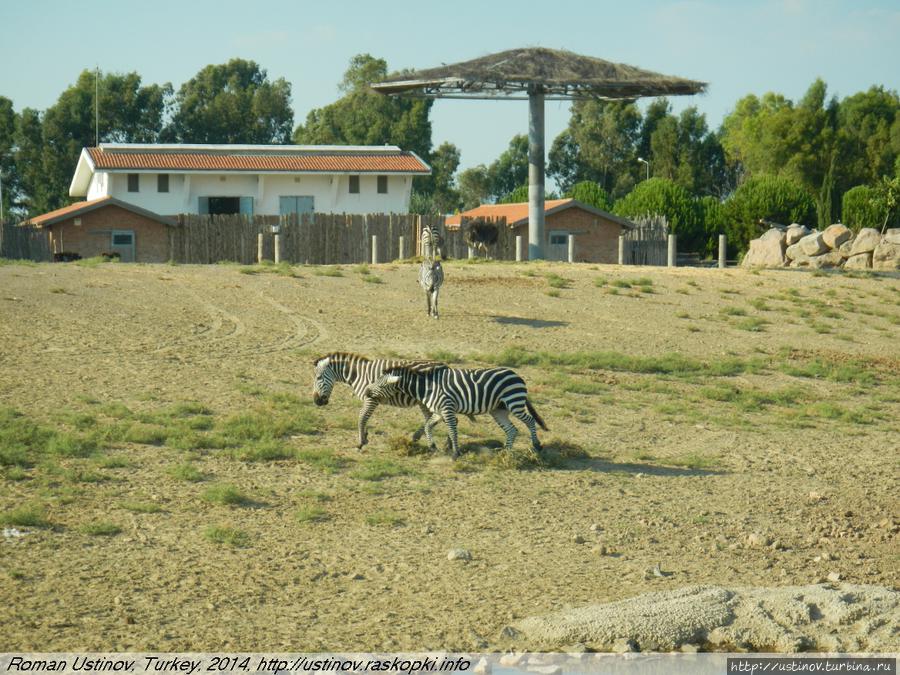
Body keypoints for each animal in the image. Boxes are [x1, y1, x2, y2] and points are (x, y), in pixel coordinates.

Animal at [360, 364, 544, 460]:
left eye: (381, 384)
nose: (367, 392)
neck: (427, 388)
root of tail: (516, 375)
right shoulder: (438, 412)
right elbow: (427, 426)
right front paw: (432, 447)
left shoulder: (447, 409)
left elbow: (452, 430)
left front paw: (455, 453)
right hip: (498, 410)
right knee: (512, 429)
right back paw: (505, 451)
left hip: (514, 402)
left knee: (529, 421)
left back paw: (537, 445)